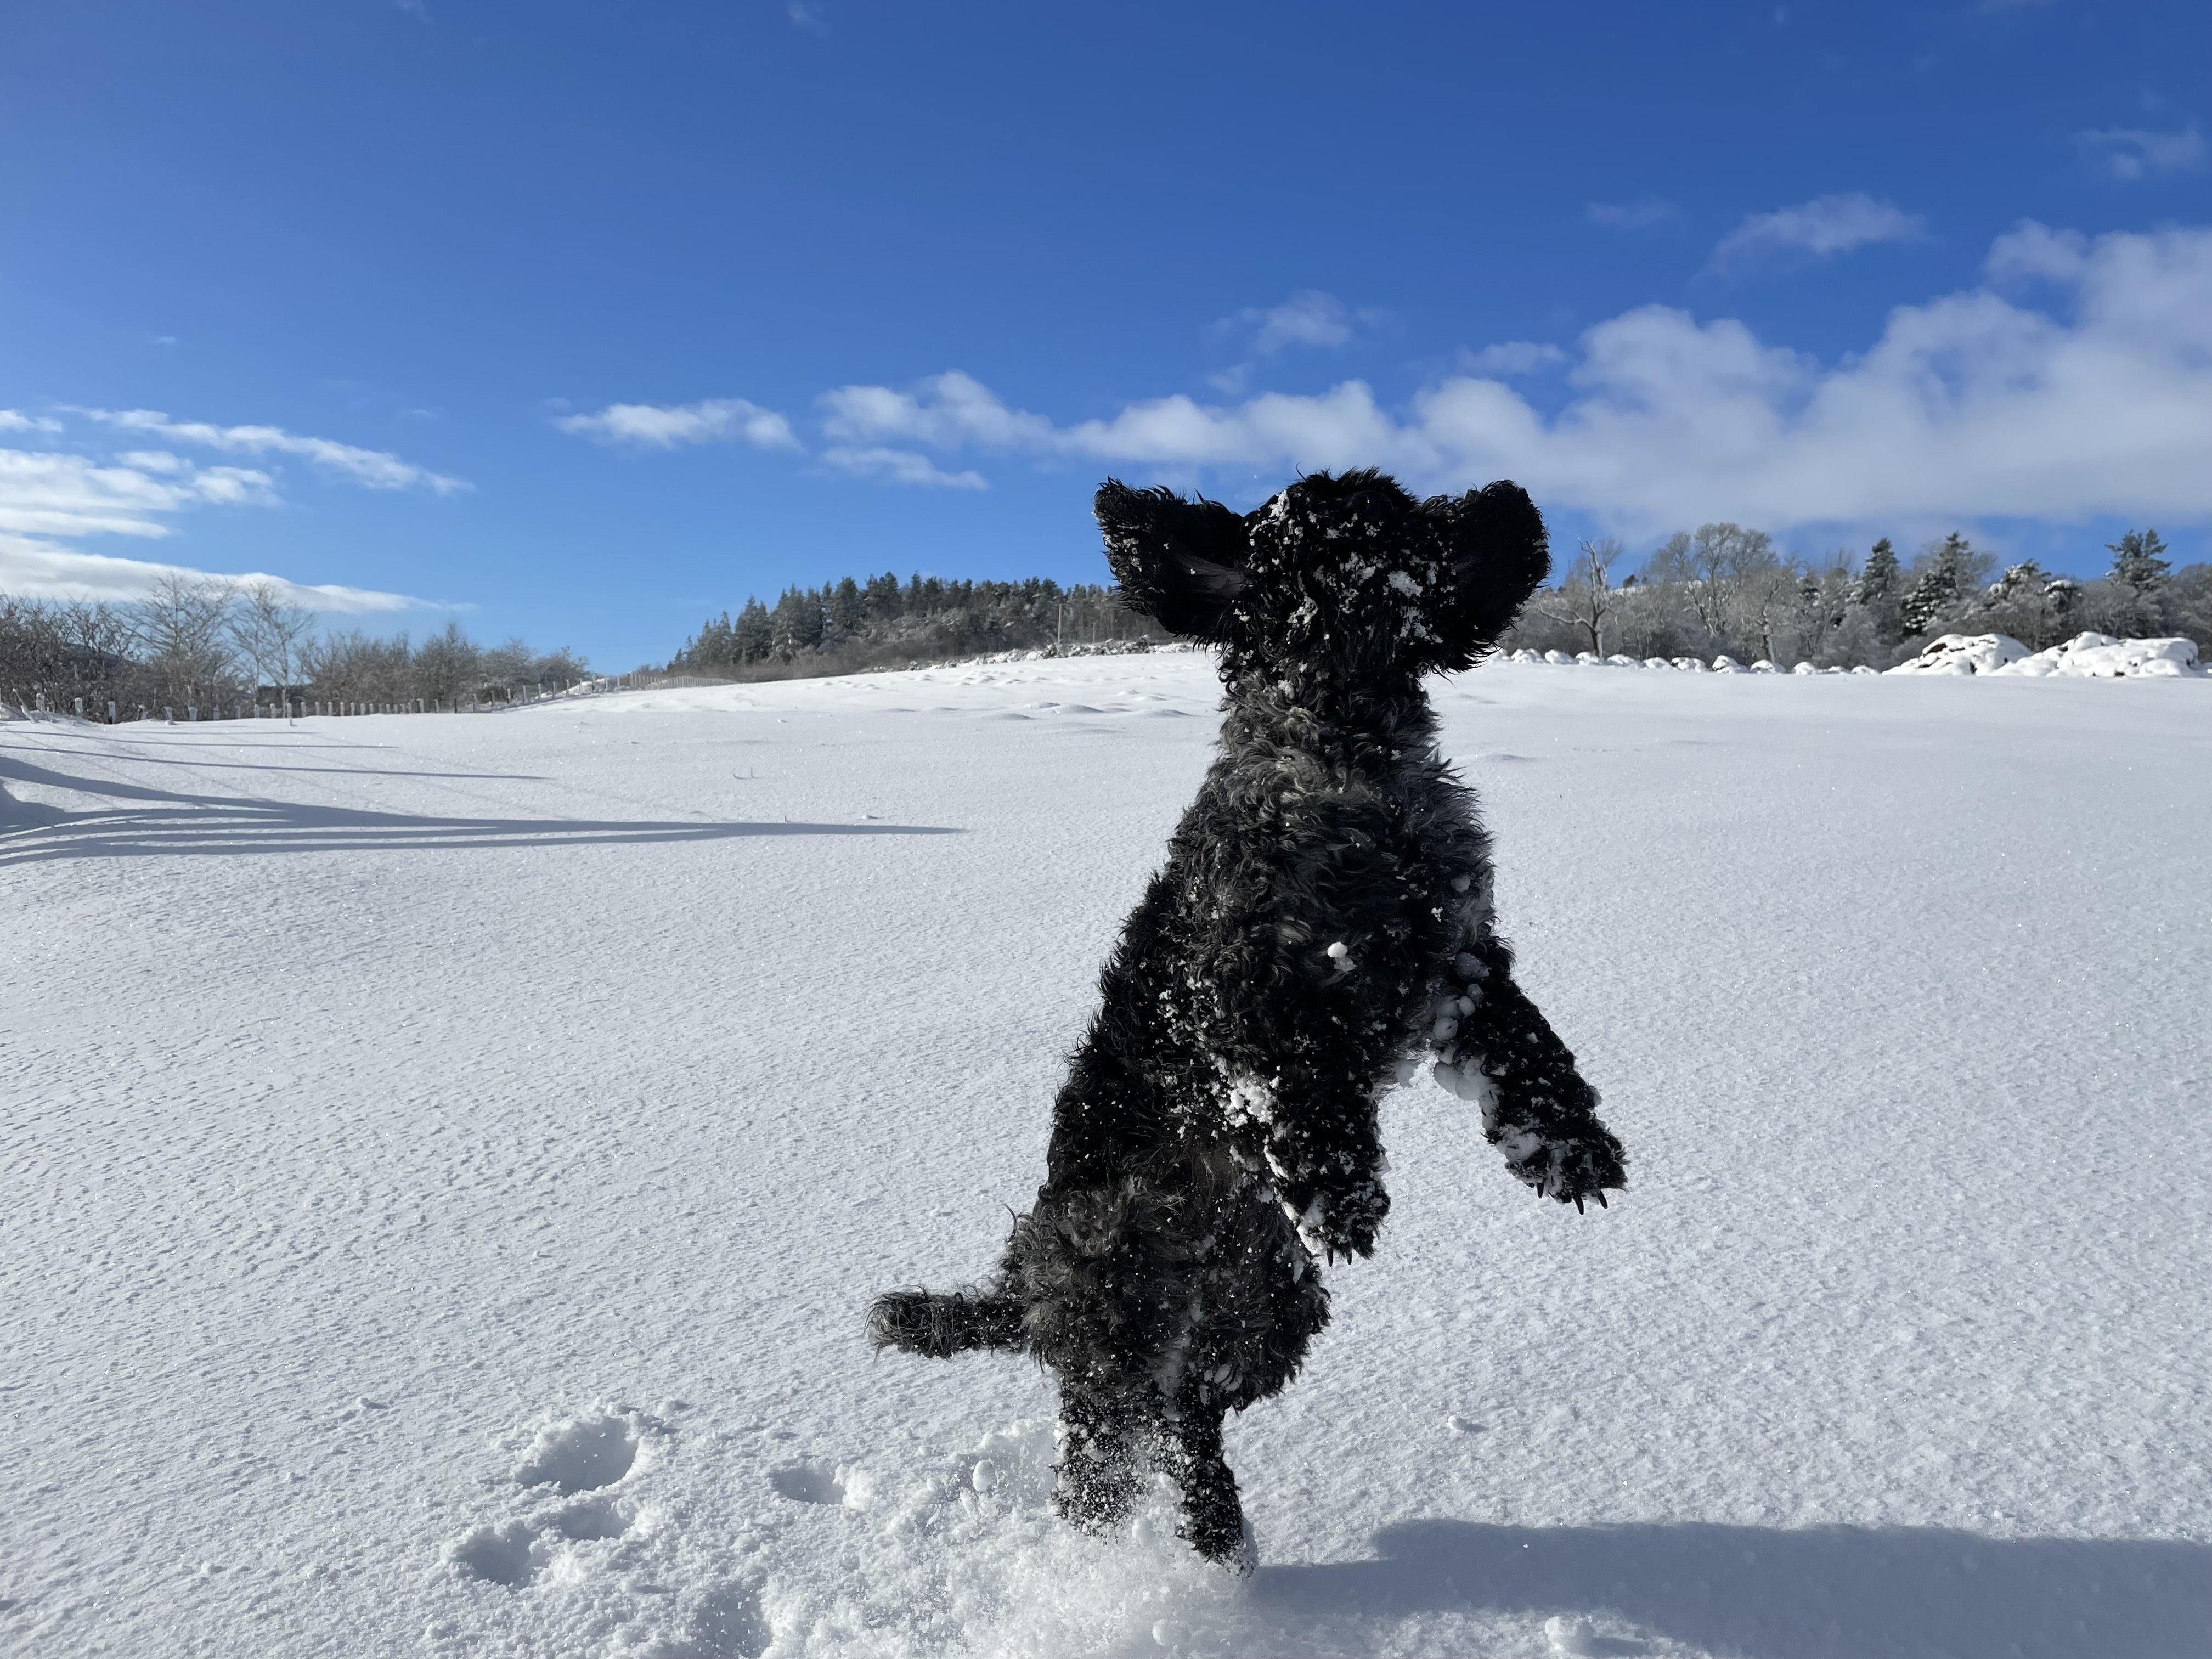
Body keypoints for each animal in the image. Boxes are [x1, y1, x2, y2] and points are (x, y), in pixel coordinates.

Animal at [867, 469, 1628, 1575]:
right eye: (1405, 525)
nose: (1516, 499)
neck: (1343, 754)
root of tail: (1027, 1283)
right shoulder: (1234, 982)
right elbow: (1300, 1058)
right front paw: (1337, 1182)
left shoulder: (1458, 960)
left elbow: (1527, 1043)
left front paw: (1566, 1144)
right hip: (1120, 1313)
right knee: (1102, 1439)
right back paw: (1110, 1546)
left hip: (1269, 1307)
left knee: (1189, 1409)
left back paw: (1217, 1525)